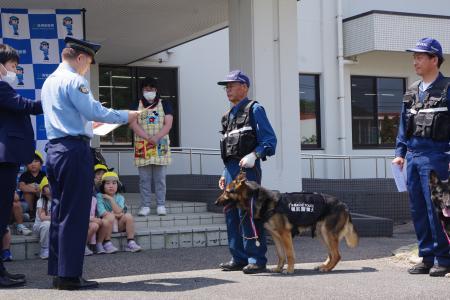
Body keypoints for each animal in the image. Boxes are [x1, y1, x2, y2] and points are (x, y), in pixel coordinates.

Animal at [215, 173, 358, 274]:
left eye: (227, 191)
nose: (215, 203)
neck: (254, 198)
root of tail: (343, 204)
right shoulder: (275, 236)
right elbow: (280, 255)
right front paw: (278, 269)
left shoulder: (285, 234)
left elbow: (289, 254)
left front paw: (289, 270)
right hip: (321, 234)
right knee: (331, 254)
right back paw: (324, 265)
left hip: (326, 233)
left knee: (337, 255)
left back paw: (327, 268)